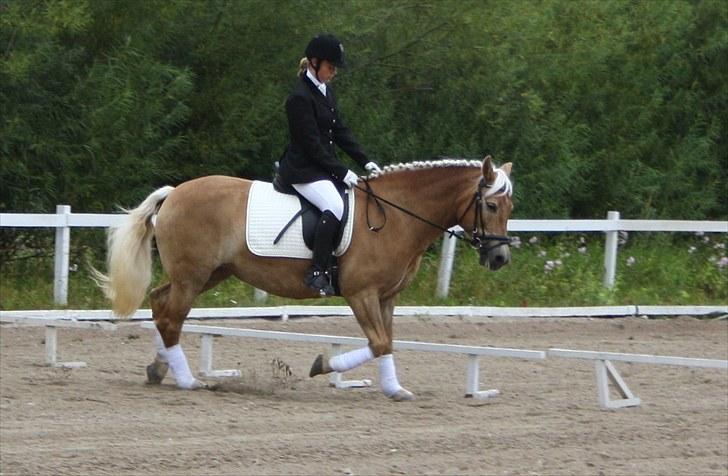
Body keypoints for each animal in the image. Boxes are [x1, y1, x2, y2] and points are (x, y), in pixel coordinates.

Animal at [94, 154, 516, 400]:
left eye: (511, 207)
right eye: (492, 206)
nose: (500, 258)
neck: (396, 216)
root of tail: (175, 192)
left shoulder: (387, 296)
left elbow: (387, 343)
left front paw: (391, 386)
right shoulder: (362, 294)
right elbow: (379, 342)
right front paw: (327, 367)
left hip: (207, 274)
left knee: (161, 305)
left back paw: (158, 368)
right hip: (192, 277)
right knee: (171, 317)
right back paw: (187, 381)